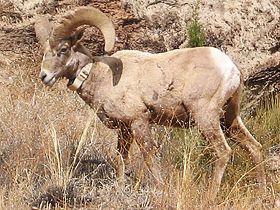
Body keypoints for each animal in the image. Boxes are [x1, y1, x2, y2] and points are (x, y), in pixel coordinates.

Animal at [35, 6, 266, 202]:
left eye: (63, 49)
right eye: (45, 51)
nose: (44, 76)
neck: (102, 77)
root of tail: (231, 69)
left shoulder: (139, 122)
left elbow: (149, 158)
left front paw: (161, 190)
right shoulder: (124, 129)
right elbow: (120, 159)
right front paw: (120, 188)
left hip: (205, 118)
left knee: (223, 152)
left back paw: (210, 198)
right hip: (229, 119)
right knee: (254, 147)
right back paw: (260, 192)